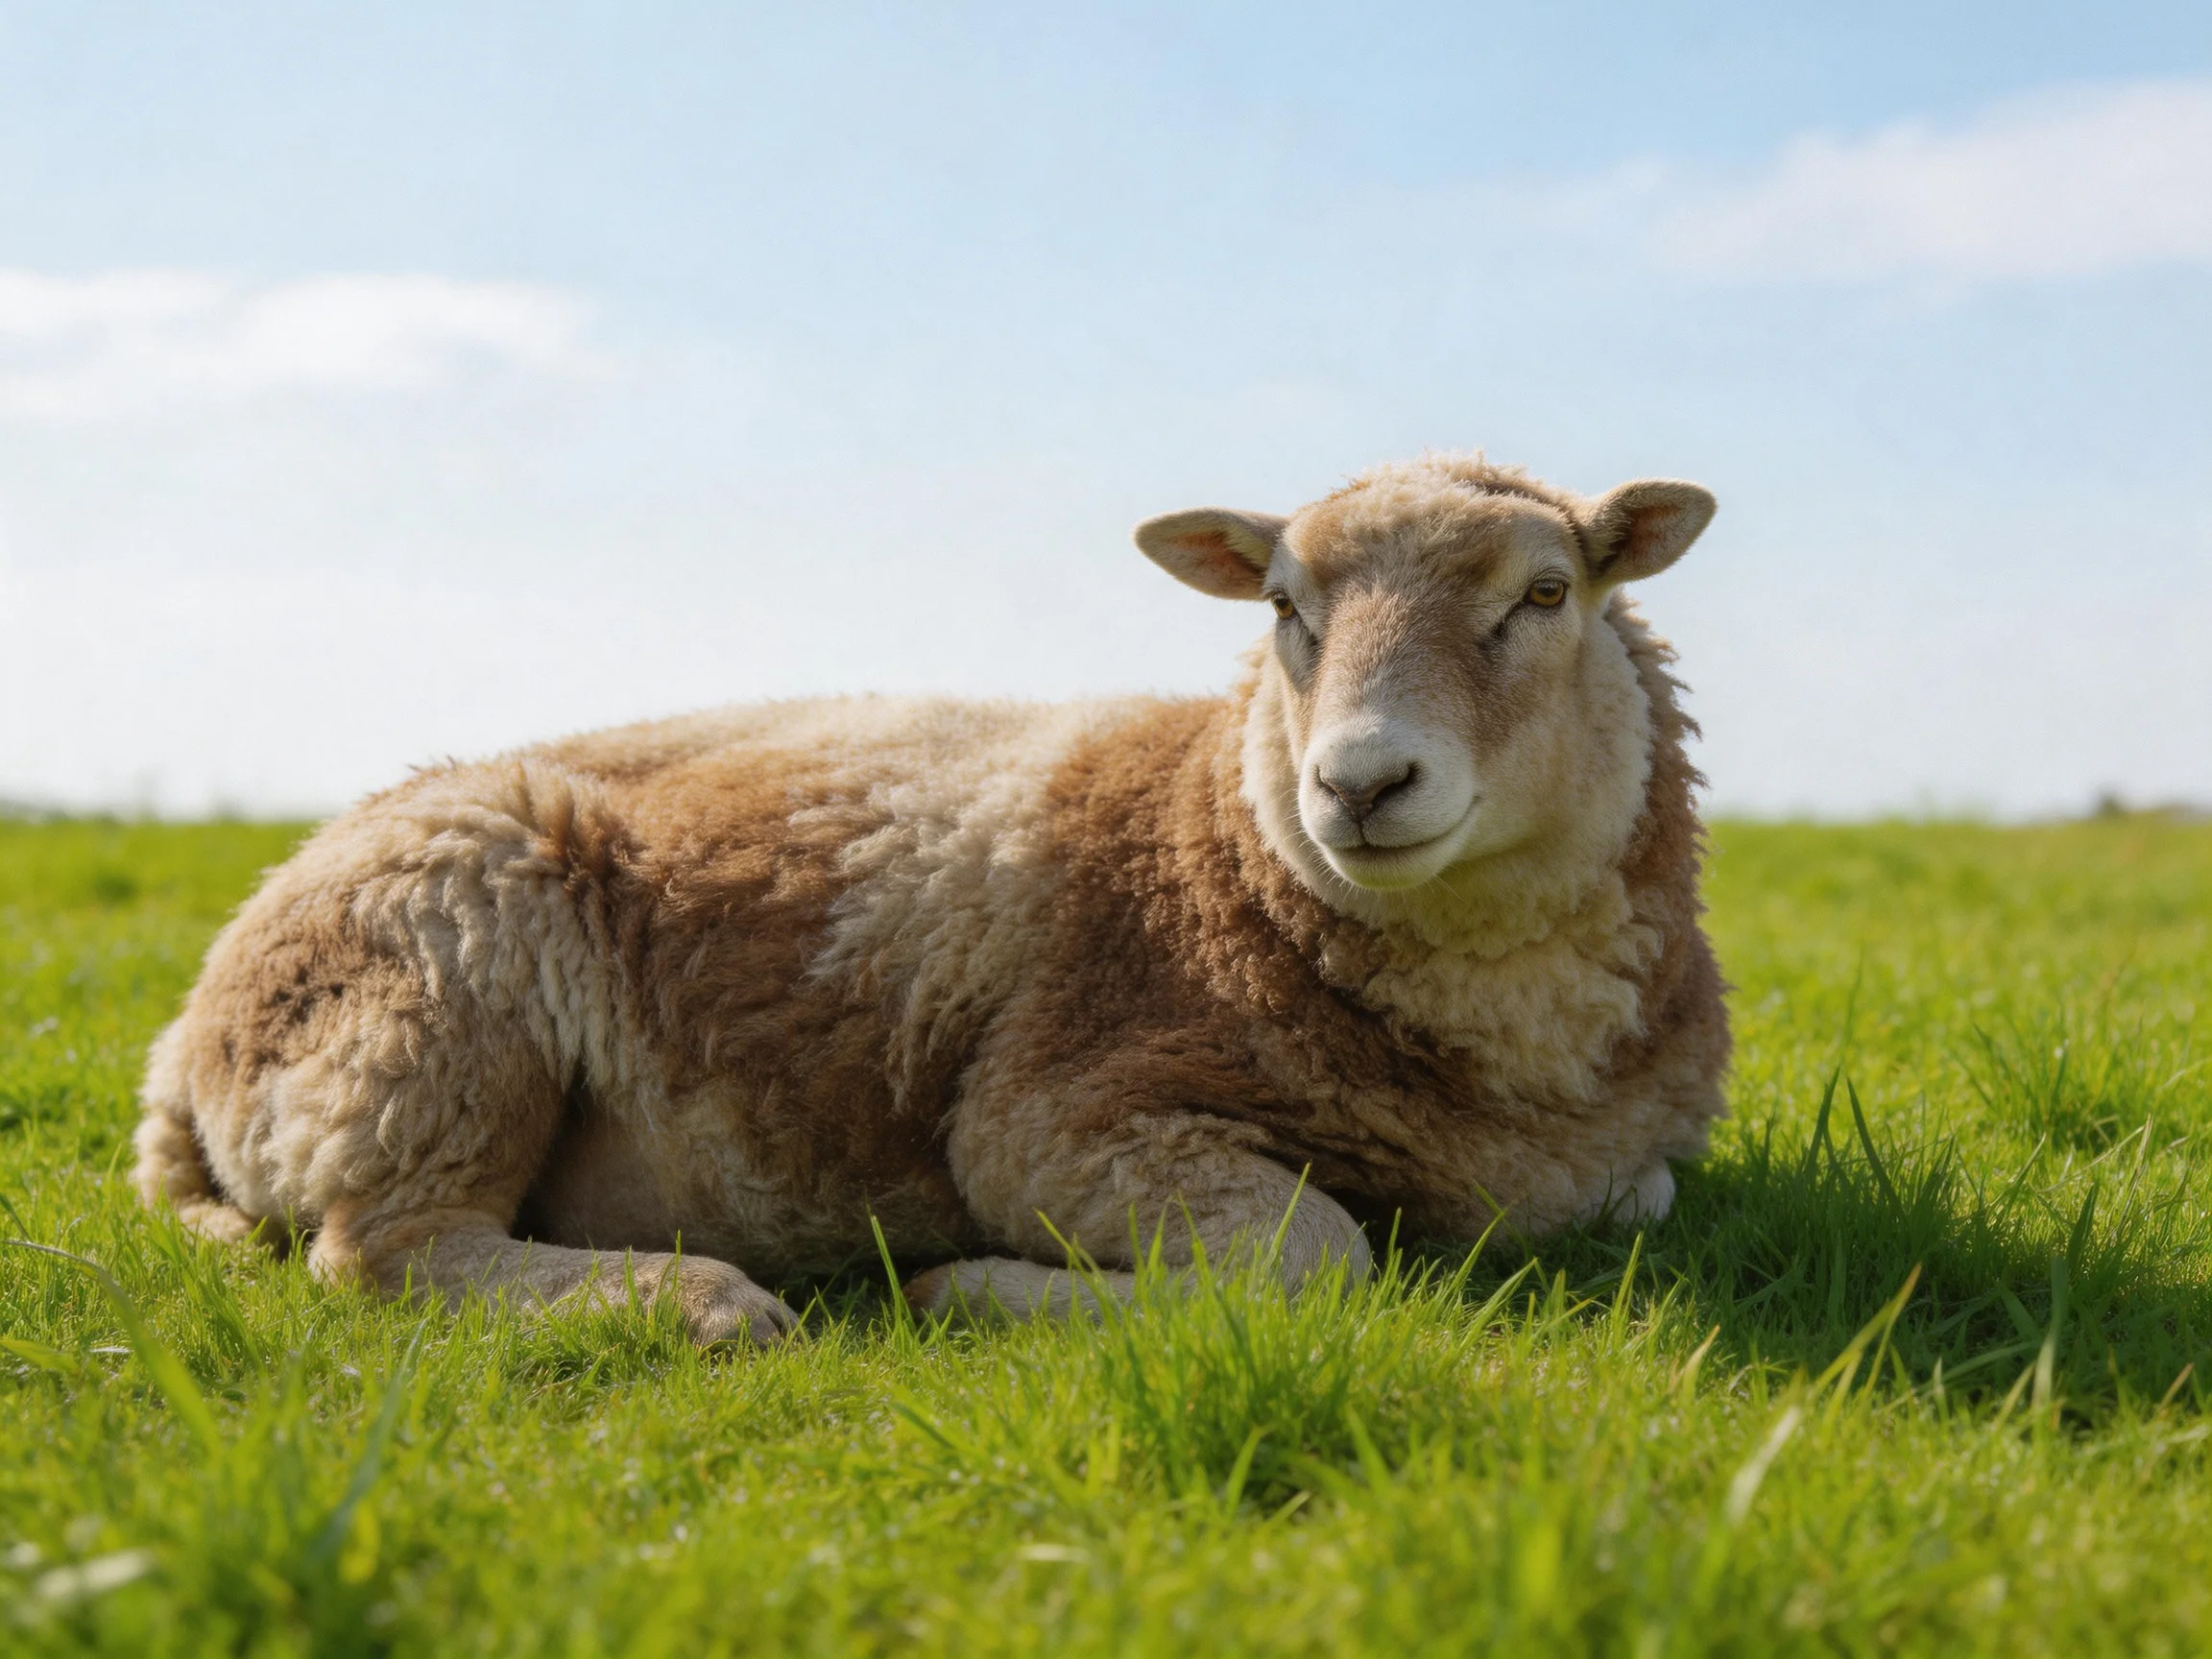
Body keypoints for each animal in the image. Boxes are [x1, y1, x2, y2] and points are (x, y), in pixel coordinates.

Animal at [133, 453, 1730, 1343]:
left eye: (1544, 594)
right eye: (1285, 607)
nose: (1360, 783)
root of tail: (183, 1040)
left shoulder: (1620, 1170)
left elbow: (1640, 1199)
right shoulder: (1058, 1112)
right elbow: (1319, 1260)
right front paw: (977, 1292)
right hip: (431, 996)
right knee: (385, 1253)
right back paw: (697, 1304)